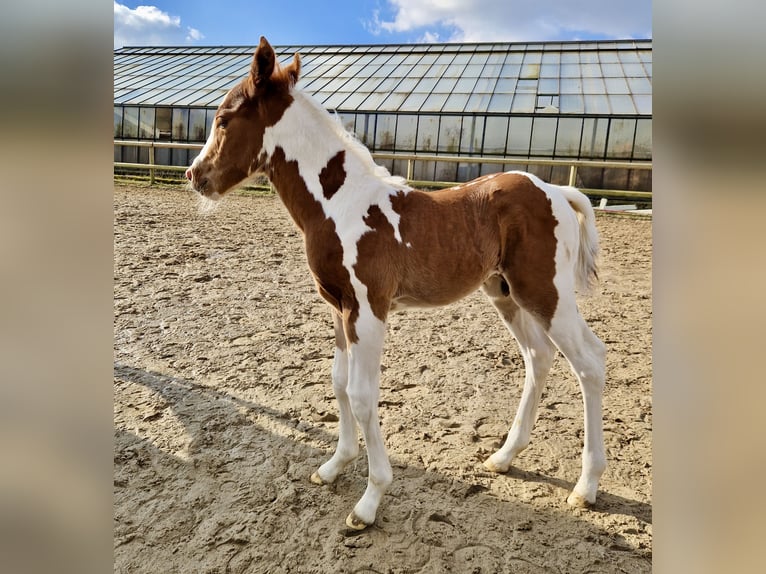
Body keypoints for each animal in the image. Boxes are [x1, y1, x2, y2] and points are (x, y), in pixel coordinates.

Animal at [185, 36, 607, 530]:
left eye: (223, 119)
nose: (195, 175)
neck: (342, 204)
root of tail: (558, 191)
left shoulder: (369, 309)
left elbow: (363, 395)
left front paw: (370, 500)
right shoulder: (338, 307)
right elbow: (338, 383)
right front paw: (334, 465)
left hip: (546, 292)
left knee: (590, 361)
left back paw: (586, 487)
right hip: (505, 293)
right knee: (538, 357)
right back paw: (503, 457)